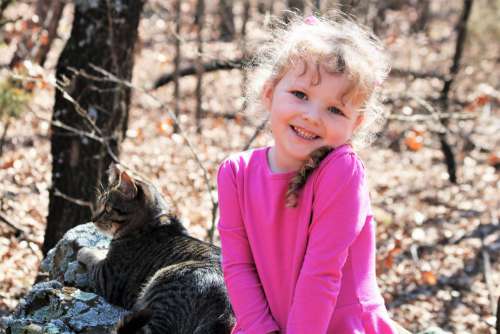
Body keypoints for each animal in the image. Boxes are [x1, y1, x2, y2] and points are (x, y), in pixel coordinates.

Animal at [77, 164, 234, 334]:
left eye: (107, 208)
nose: (92, 219)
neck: (152, 223)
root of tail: (225, 312)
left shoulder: (106, 277)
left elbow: (90, 255)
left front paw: (83, 249)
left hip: (163, 289)